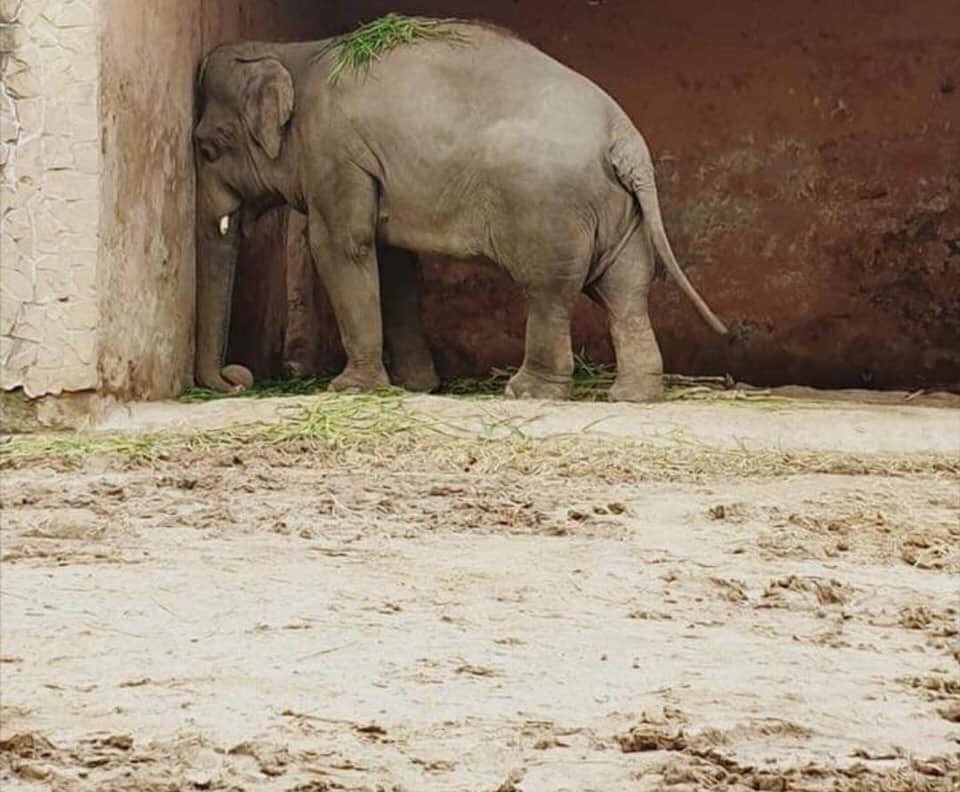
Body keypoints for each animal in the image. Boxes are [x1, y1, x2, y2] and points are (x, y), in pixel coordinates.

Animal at [193, 18, 728, 402]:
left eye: (207, 148)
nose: (237, 377)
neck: (290, 51)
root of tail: (624, 135)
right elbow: (392, 262)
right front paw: (416, 386)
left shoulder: (334, 150)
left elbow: (341, 245)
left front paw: (350, 388)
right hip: (619, 210)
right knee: (626, 289)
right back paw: (632, 396)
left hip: (551, 207)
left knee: (550, 291)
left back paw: (528, 392)